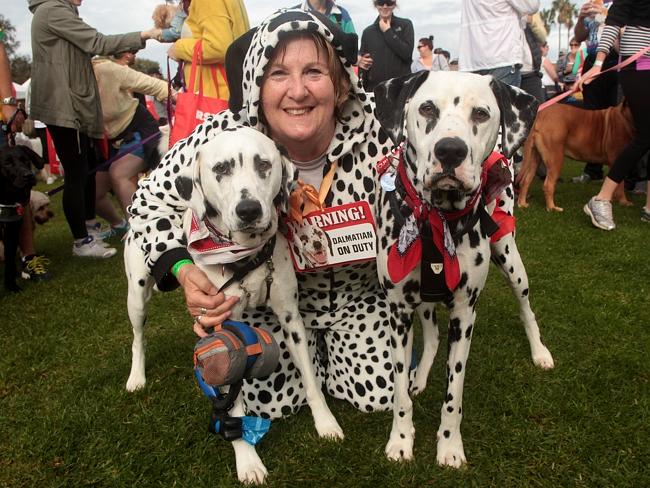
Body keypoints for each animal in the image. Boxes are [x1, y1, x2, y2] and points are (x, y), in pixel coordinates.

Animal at [0, 145, 44, 290]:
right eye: (7, 163)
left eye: (25, 160)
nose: (28, 175)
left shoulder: (11, 231)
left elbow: (9, 262)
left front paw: (11, 286)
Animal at [123, 127, 342, 484]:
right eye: (221, 169)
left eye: (263, 164)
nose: (249, 210)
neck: (243, 256)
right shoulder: (220, 333)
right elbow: (231, 407)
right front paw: (247, 460)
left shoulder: (291, 319)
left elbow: (311, 381)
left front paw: (325, 423)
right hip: (137, 296)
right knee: (138, 339)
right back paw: (136, 377)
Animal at [370, 71, 552, 466]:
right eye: (426, 108)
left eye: (481, 113)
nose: (450, 151)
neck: (436, 219)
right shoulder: (398, 312)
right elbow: (399, 392)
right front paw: (401, 440)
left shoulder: (465, 314)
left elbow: (453, 395)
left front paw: (450, 446)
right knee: (432, 335)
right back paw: (420, 376)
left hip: (511, 261)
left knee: (526, 309)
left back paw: (539, 352)